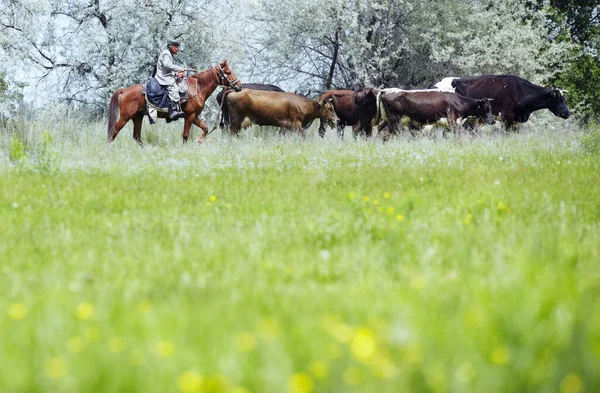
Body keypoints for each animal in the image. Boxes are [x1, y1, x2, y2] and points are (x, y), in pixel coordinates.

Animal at [108, 61, 241, 145]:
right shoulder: (190, 116)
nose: (239, 86)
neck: (196, 89)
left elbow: (205, 128)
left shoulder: (194, 116)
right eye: (228, 72)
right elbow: (185, 135)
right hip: (125, 117)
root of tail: (124, 90)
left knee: (136, 137)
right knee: (114, 131)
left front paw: (199, 141)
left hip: (137, 117)